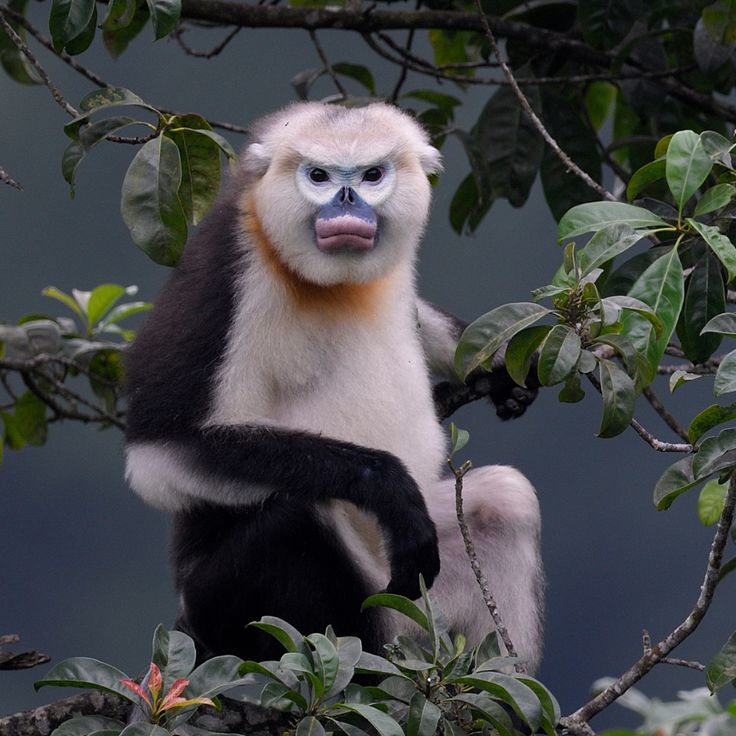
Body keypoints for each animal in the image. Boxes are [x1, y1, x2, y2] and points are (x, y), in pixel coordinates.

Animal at [123, 102, 544, 672]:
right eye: (319, 176)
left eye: (372, 175)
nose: (347, 202)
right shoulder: (224, 264)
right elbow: (160, 449)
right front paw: (387, 487)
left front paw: (503, 371)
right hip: (233, 604)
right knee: (298, 514)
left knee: (505, 500)